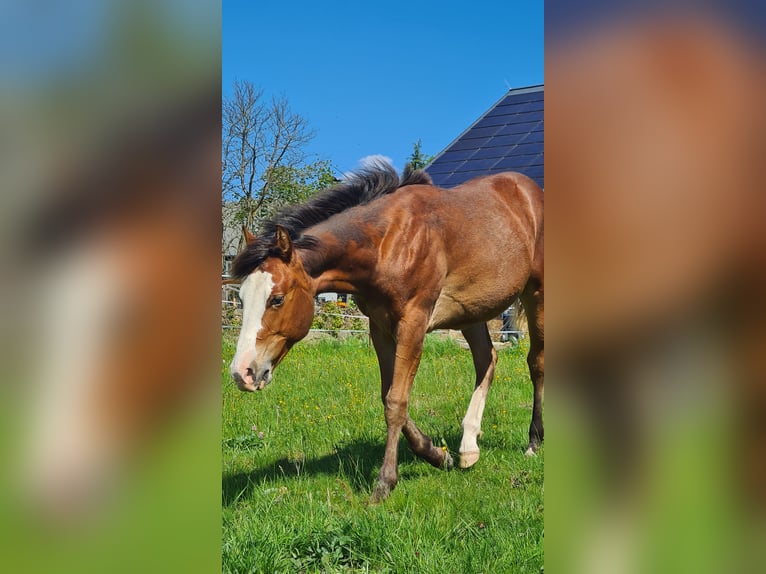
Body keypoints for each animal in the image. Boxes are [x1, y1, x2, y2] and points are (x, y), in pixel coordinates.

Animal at [231, 163, 544, 504]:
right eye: (242, 298)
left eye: (276, 299)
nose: (242, 372)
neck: (386, 243)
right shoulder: (379, 327)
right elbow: (388, 395)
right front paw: (437, 455)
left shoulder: (413, 323)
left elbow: (396, 401)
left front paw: (385, 483)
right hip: (470, 311)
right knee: (487, 360)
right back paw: (468, 447)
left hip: (536, 294)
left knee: (536, 363)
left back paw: (533, 441)